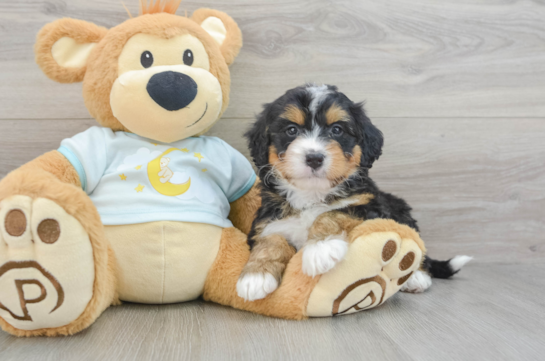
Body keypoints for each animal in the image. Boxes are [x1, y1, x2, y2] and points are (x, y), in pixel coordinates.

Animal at [236, 84, 470, 300]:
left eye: (337, 130)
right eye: (291, 130)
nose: (314, 158)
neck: (313, 194)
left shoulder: (368, 206)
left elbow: (332, 213)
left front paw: (321, 248)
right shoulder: (268, 218)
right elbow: (270, 238)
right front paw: (255, 275)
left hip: (399, 210)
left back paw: (416, 277)